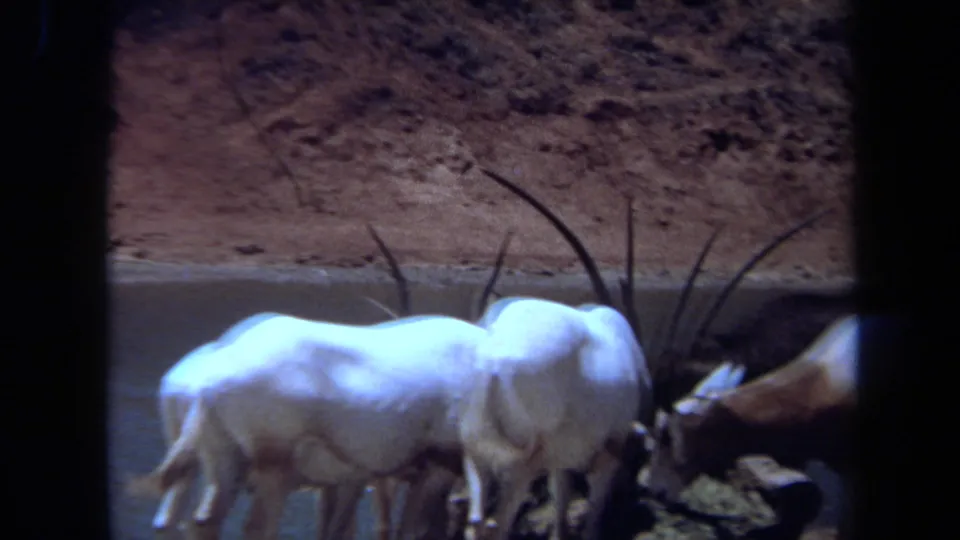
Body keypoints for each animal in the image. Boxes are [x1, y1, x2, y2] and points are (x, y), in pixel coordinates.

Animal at [459, 167, 832, 540]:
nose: (653, 493)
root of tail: (492, 356)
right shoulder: (607, 451)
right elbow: (592, 515)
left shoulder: (564, 459)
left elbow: (562, 508)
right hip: (522, 461)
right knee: (497, 524)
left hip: (479, 453)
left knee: (477, 522)